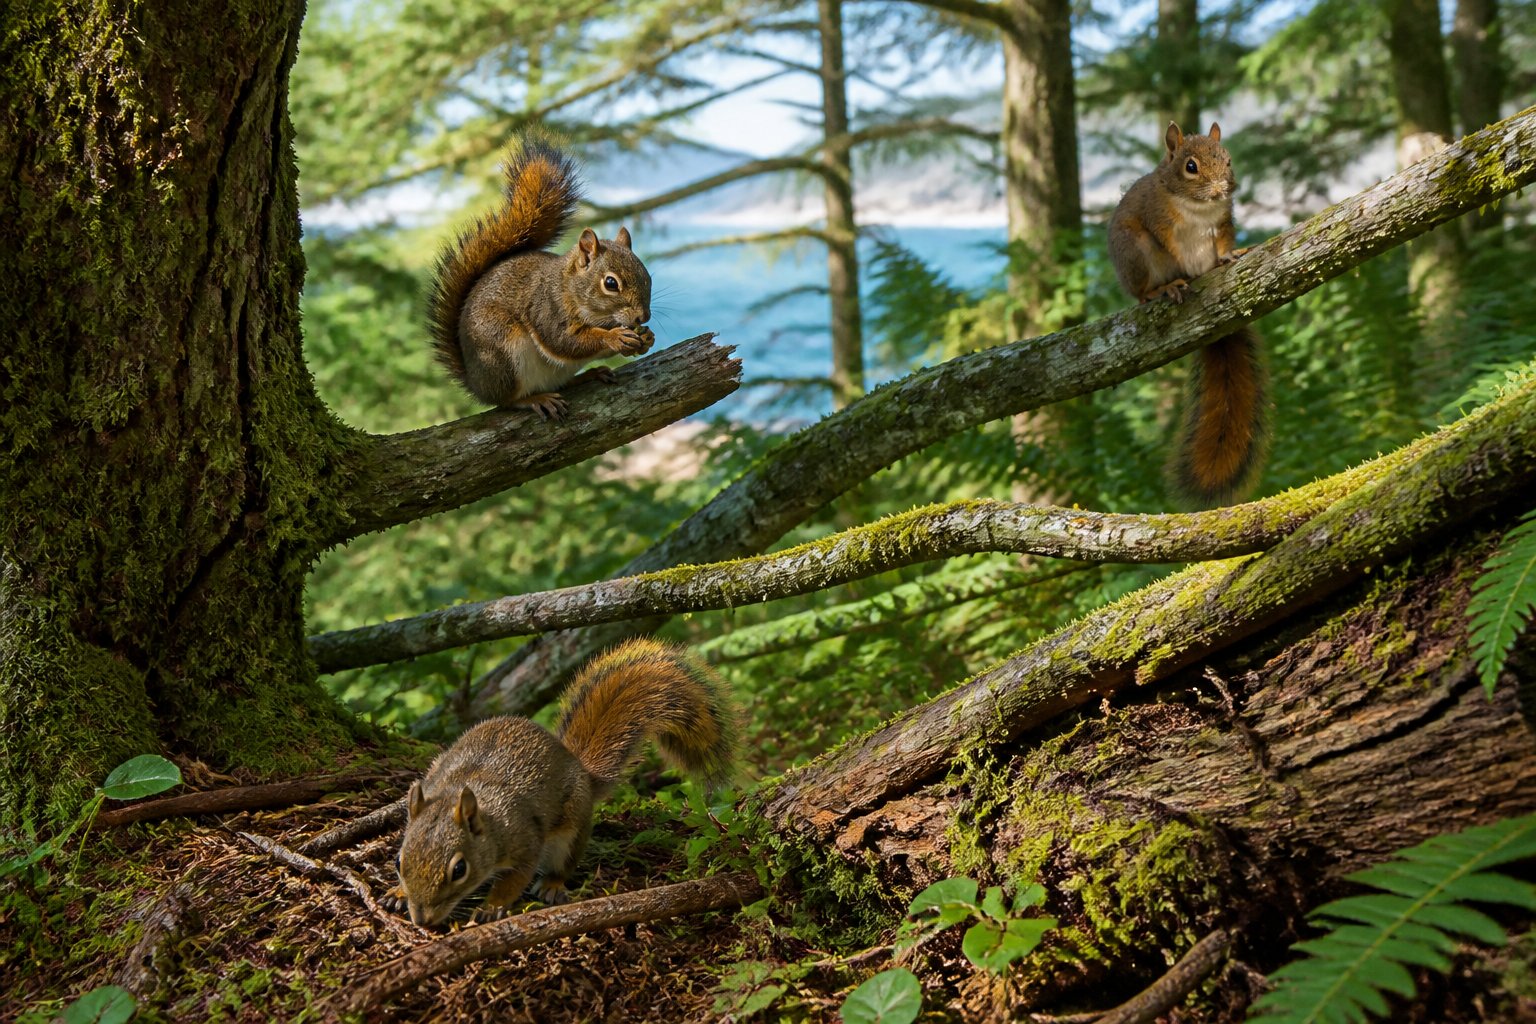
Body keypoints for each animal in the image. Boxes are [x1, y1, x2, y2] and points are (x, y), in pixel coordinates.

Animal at [387, 638, 738, 928]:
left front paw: (491, 906)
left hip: (571, 830)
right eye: (399, 861)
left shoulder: (525, 839)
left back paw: (553, 885)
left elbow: (516, 878)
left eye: (459, 870)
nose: (422, 920)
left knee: (563, 864)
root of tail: (579, 767)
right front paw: (398, 893)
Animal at [427, 133, 655, 420]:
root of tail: (477, 383)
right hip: (504, 353)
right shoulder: (546, 308)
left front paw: (647, 338)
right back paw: (536, 399)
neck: (569, 288)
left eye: (648, 277)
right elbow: (563, 341)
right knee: (507, 401)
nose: (642, 318)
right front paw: (614, 337)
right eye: (611, 283)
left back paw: (588, 375)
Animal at [1107, 121, 1270, 507]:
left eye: (1228, 160)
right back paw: (1162, 289)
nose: (1222, 189)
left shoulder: (1223, 222)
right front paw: (1175, 280)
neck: (1197, 208)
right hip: (1135, 255)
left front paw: (1230, 255)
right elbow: (1169, 246)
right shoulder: (1158, 221)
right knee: (1142, 291)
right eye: (1190, 166)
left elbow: (1224, 241)